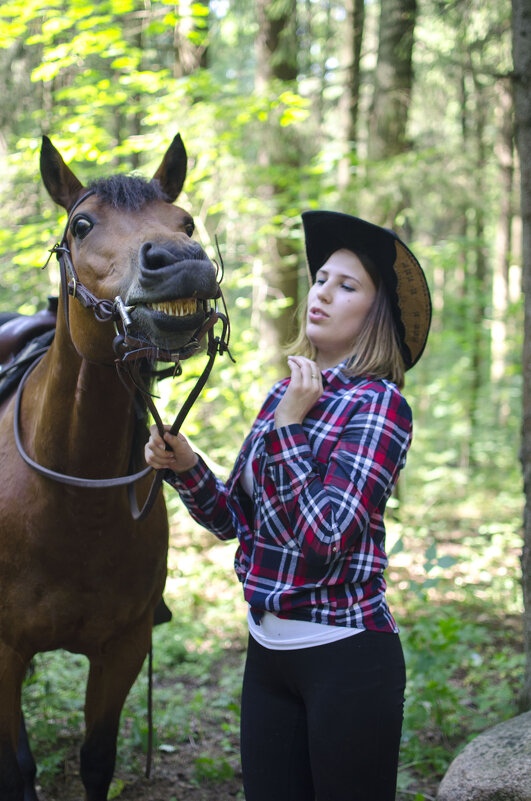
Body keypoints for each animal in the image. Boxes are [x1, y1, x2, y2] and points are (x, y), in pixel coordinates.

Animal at [0, 134, 227, 796]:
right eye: (82, 224)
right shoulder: (2, 653)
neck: (75, 502)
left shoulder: (124, 647)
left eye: (186, 222)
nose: (182, 261)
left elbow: (97, 758)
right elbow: (15, 770)